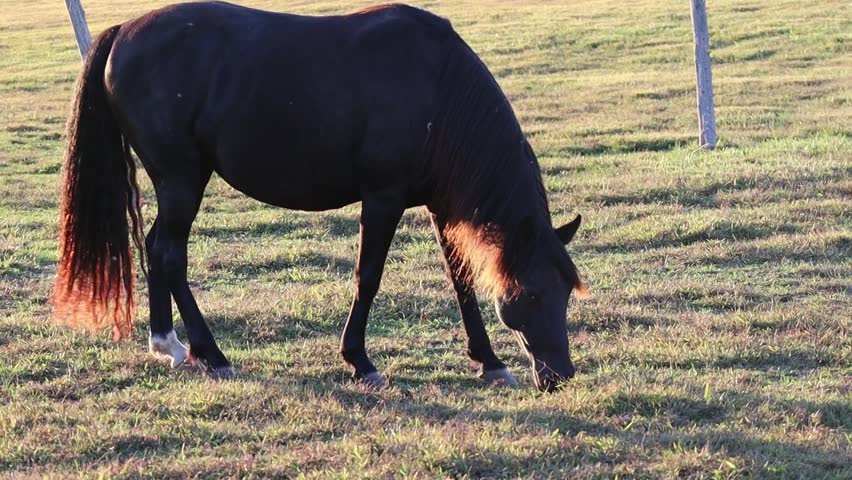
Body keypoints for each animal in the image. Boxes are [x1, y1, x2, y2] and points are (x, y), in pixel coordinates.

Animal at [52, 1, 588, 392]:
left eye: (565, 292)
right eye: (532, 294)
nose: (559, 376)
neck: (439, 89)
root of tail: (124, 31)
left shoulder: (439, 205)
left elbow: (461, 282)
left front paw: (489, 360)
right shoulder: (383, 199)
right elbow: (368, 277)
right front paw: (360, 361)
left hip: (175, 183)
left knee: (154, 248)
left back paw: (169, 344)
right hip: (182, 178)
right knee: (169, 254)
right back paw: (211, 353)